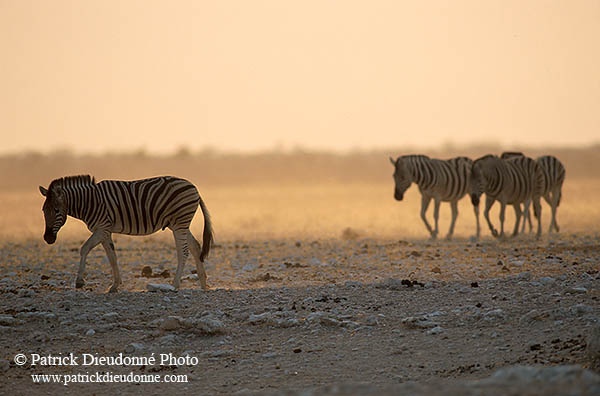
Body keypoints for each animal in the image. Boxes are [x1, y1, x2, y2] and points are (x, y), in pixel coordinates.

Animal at [39, 175, 213, 292]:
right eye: (43, 211)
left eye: (56, 210)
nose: (47, 238)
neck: (89, 202)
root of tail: (194, 187)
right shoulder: (105, 231)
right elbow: (112, 256)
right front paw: (115, 285)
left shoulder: (102, 227)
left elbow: (85, 248)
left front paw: (79, 281)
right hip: (178, 224)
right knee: (195, 247)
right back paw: (203, 284)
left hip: (179, 223)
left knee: (183, 252)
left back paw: (175, 285)